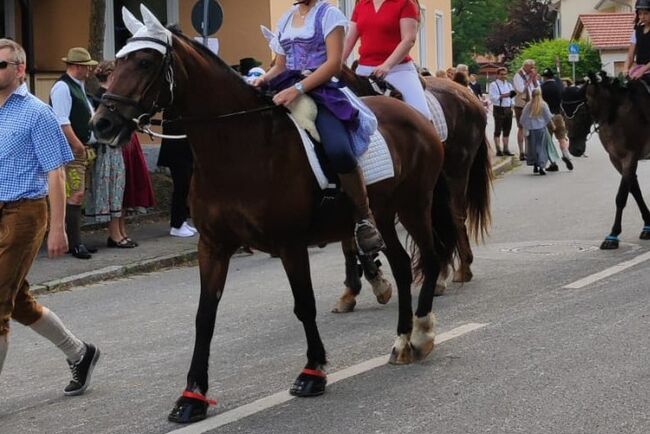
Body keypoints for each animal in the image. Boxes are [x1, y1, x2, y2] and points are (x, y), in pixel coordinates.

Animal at [90, 17, 456, 424]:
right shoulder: (213, 246)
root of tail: (417, 116)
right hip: (385, 216)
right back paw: (403, 340)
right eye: (116, 62)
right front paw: (192, 396)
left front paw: (313, 372)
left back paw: (421, 334)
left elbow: (304, 305)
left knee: (431, 257)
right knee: (404, 266)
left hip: (414, 205)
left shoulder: (290, 244)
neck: (239, 146)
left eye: (144, 63)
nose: (101, 123)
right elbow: (205, 317)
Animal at [332, 65, 488, 312]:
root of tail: (463, 88)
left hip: (455, 173)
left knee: (455, 217)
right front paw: (352, 290)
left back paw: (459, 269)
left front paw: (377, 283)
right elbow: (350, 245)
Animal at [560, 73, 644, 249]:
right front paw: (647, 225)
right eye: (562, 114)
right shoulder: (616, 159)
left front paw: (613, 235)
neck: (615, 114)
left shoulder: (630, 156)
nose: (575, 150)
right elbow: (634, 191)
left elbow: (621, 196)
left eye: (582, 113)